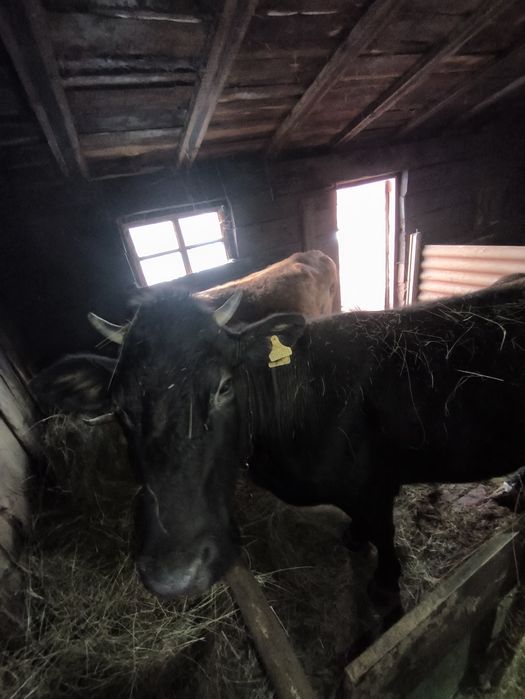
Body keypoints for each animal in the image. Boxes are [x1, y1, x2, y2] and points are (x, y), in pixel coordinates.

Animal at [33, 280, 525, 629]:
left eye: (224, 386)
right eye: (120, 407)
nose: (175, 574)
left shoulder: (376, 485)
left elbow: (385, 535)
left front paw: (385, 589)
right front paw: (354, 537)